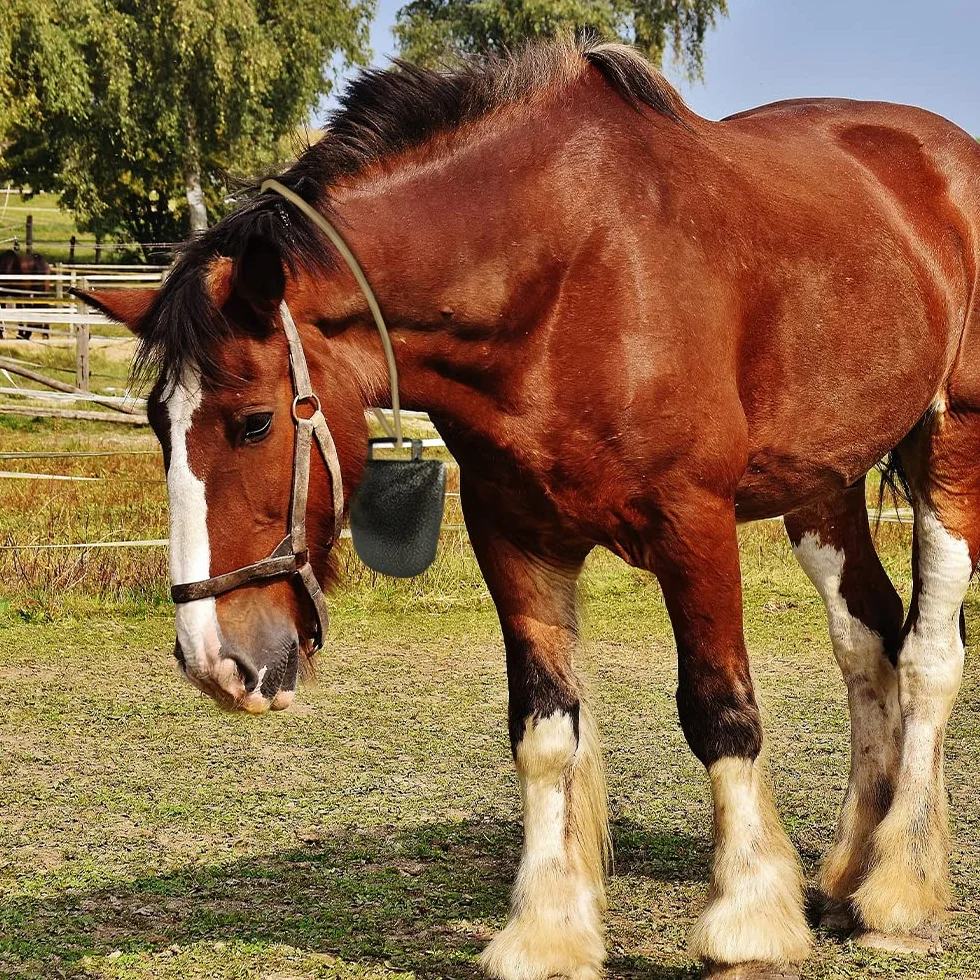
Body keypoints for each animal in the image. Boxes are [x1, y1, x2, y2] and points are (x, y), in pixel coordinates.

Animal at [77, 35, 980, 980]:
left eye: (253, 422)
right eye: (159, 425)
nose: (213, 661)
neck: (566, 277)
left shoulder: (692, 526)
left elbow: (721, 713)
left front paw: (747, 925)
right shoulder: (514, 537)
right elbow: (545, 731)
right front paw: (549, 930)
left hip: (952, 448)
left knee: (928, 657)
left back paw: (899, 894)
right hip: (822, 484)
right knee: (866, 641)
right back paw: (850, 873)